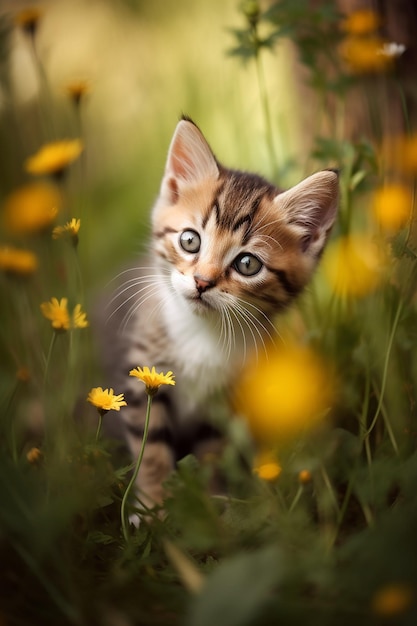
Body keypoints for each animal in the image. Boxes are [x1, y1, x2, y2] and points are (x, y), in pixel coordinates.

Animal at [98, 116, 338, 508]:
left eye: (247, 263)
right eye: (190, 240)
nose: (202, 281)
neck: (202, 330)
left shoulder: (222, 402)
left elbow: (211, 453)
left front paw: (212, 502)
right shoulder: (142, 376)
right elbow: (151, 448)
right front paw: (152, 507)